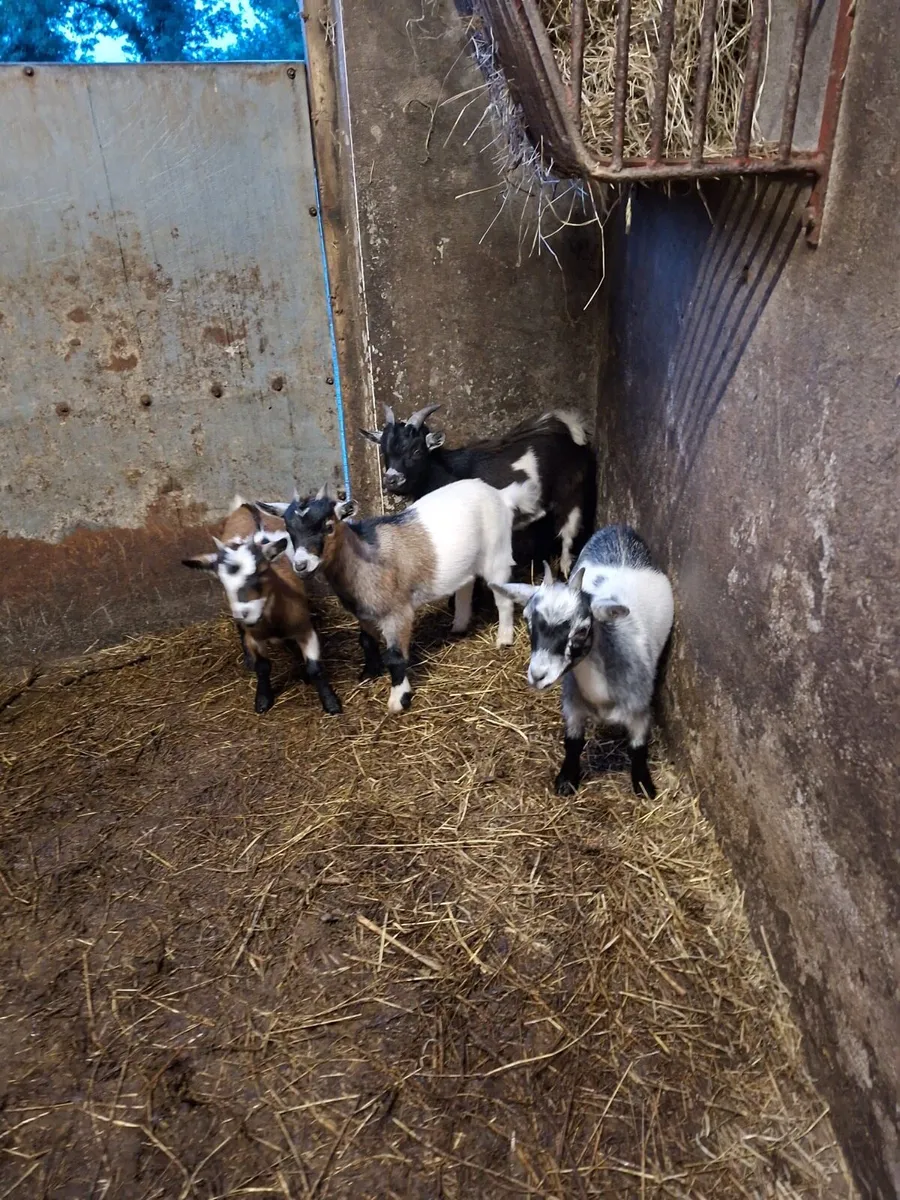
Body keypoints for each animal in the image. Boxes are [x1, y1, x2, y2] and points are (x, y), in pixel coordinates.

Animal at [182, 496, 342, 716]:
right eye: (223, 580)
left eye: (262, 572)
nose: (246, 614)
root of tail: (245, 506)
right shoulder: (256, 637)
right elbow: (263, 667)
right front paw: (263, 699)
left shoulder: (305, 630)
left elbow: (315, 667)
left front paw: (330, 702)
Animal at [257, 476, 537, 714]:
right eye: (289, 530)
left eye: (328, 526)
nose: (301, 565)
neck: (366, 556)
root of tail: (500, 494)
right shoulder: (365, 611)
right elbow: (366, 641)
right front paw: (369, 673)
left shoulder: (398, 612)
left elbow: (394, 656)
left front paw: (398, 699)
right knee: (465, 585)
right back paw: (459, 624)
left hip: (497, 553)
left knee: (503, 599)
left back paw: (504, 638)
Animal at [359, 405, 597, 576]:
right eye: (384, 451)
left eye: (417, 450)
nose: (392, 480)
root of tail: (568, 427)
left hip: (571, 492)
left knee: (568, 533)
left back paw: (565, 570)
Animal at [500, 525, 673, 798]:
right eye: (527, 620)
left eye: (582, 630)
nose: (538, 675)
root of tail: (618, 530)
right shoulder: (572, 706)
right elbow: (573, 743)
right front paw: (566, 779)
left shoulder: (640, 710)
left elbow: (638, 748)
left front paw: (644, 785)